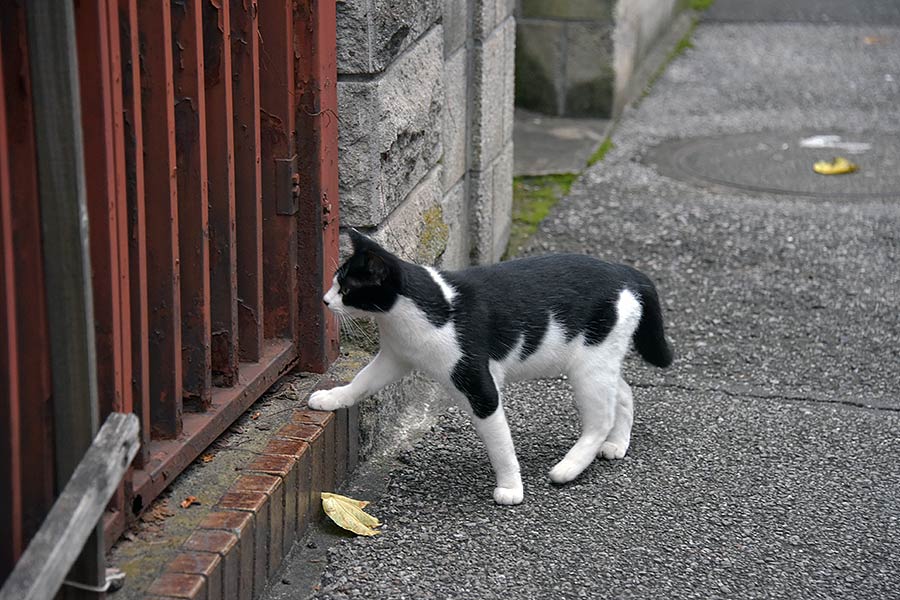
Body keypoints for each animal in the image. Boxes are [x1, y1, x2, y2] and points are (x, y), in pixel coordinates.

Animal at [306, 232, 672, 504]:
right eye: (335, 284)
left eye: (346, 289)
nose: (324, 301)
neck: (419, 310)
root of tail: (625, 271)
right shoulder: (395, 357)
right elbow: (362, 381)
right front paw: (331, 398)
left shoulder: (479, 386)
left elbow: (499, 443)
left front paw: (511, 487)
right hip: (599, 359)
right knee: (623, 392)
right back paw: (617, 444)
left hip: (589, 367)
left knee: (600, 419)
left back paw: (568, 467)